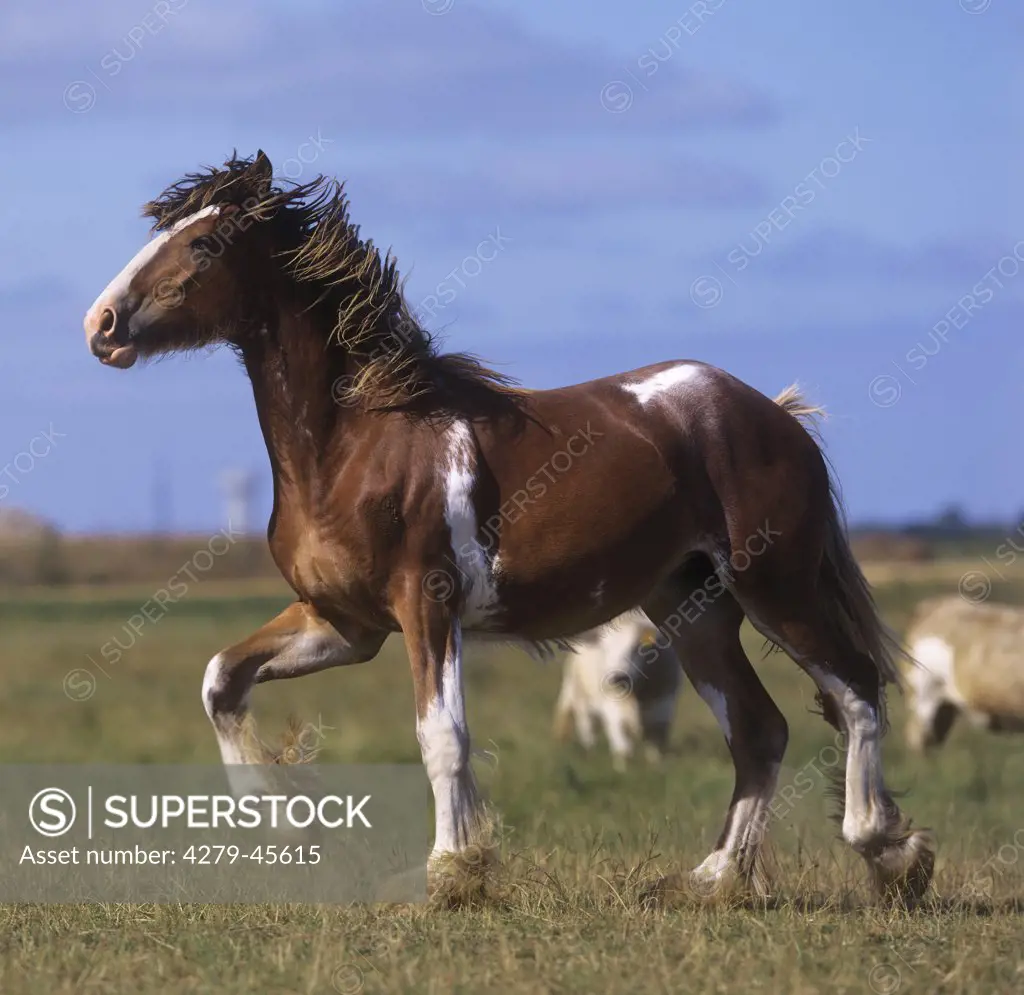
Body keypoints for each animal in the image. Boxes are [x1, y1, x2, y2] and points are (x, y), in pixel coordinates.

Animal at [81, 153, 937, 900]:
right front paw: (281, 818)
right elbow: (222, 678)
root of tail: (776, 415)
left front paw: (453, 872)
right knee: (760, 729)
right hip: (690, 606)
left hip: (774, 584)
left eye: (203, 241)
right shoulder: (343, 623)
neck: (352, 443)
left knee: (856, 689)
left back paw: (891, 852)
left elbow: (442, 736)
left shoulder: (426, 604)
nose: (102, 324)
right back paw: (711, 879)